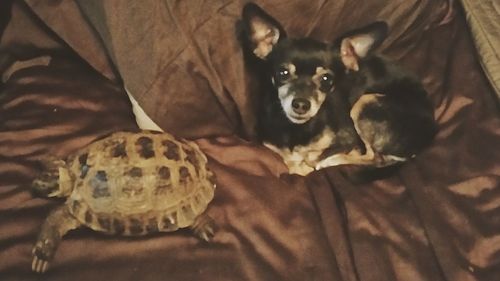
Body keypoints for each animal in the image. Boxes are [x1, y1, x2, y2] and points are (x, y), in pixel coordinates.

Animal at [240, 3, 436, 176]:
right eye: (283, 72)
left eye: (326, 79)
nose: (301, 104)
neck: (297, 129)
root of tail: (429, 134)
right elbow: (291, 162)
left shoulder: (347, 139)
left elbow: (312, 159)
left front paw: (314, 161)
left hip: (366, 101)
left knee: (375, 157)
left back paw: (332, 161)